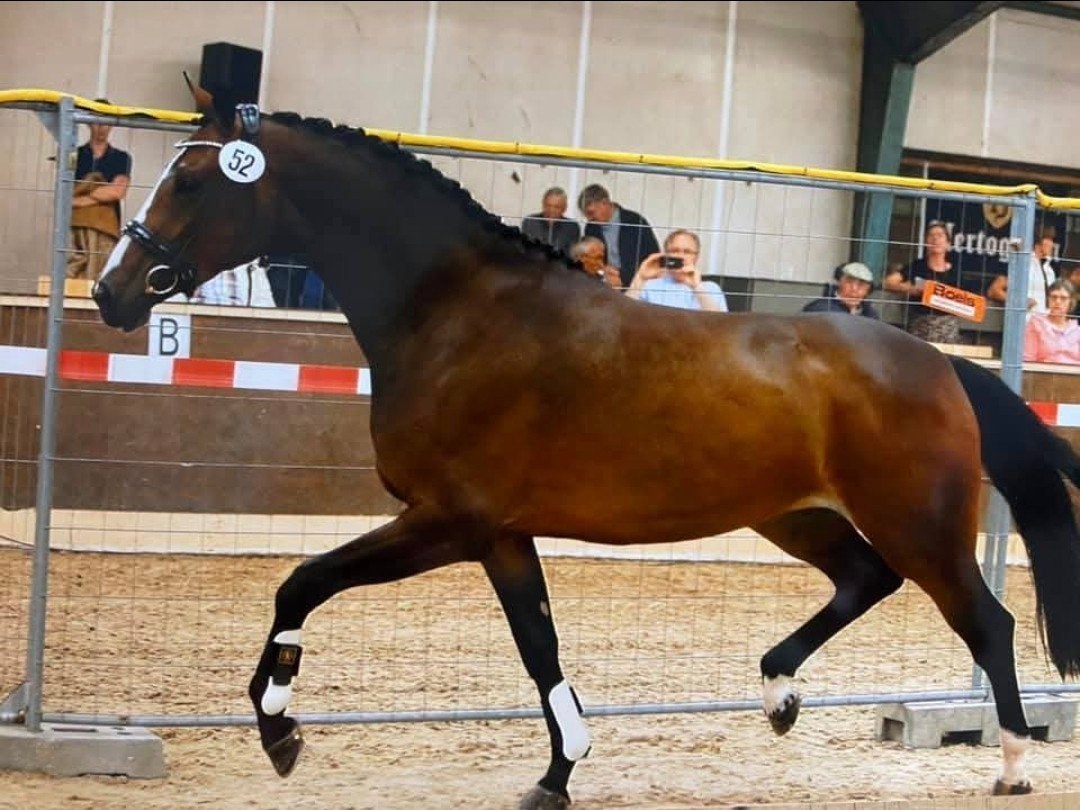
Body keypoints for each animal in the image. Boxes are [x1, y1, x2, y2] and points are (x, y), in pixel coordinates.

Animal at [91, 80, 1080, 808]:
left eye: (191, 182)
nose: (112, 291)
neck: (456, 315)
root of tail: (941, 362)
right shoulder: (499, 535)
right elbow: (540, 648)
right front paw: (559, 772)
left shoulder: (446, 521)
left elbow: (300, 582)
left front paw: (279, 729)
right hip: (794, 515)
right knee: (863, 579)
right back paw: (778, 691)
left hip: (921, 523)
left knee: (984, 621)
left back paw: (1012, 763)